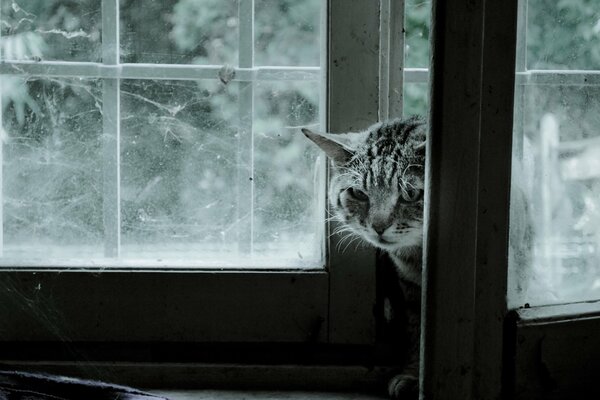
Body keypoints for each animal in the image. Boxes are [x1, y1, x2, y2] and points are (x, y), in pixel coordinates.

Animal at [304, 114, 426, 398]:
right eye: (358, 193)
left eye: (411, 193)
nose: (378, 226)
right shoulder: (411, 290)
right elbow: (418, 329)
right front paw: (414, 373)